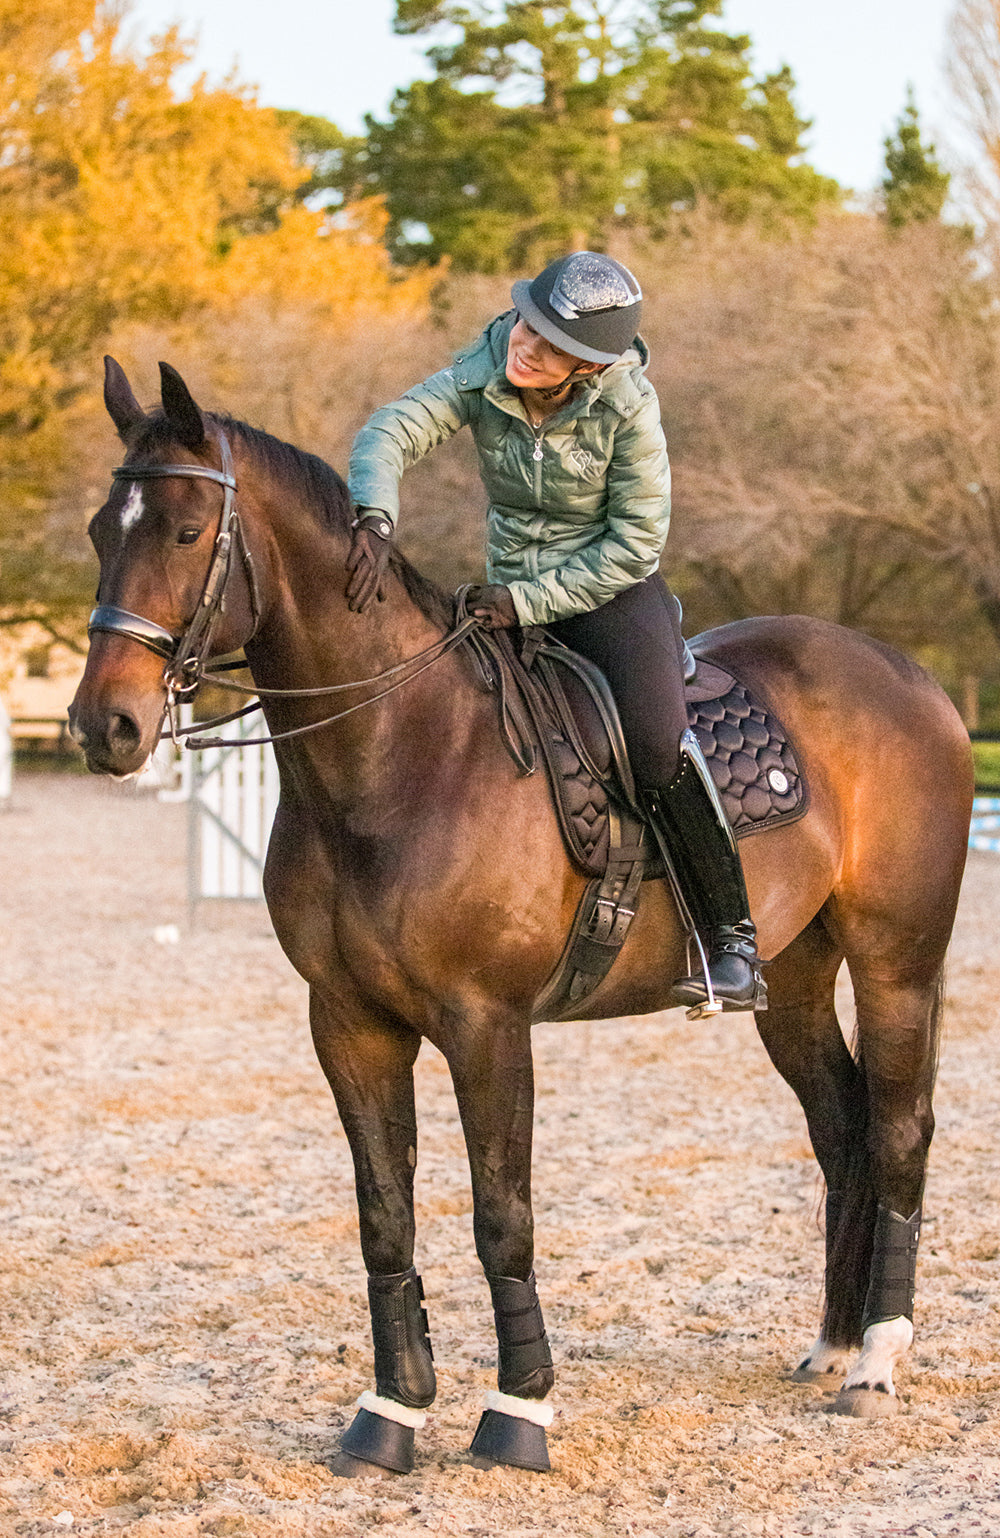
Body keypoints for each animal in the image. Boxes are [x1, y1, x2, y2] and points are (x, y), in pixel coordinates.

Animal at [69, 358, 973, 1475]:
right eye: (103, 531)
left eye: (190, 530)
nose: (104, 725)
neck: (401, 753)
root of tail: (909, 676)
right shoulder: (349, 1025)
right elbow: (384, 1217)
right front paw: (391, 1411)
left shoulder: (486, 1025)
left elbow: (503, 1216)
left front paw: (518, 1411)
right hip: (793, 982)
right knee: (841, 1125)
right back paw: (833, 1343)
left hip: (898, 964)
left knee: (898, 1128)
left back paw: (877, 1360)